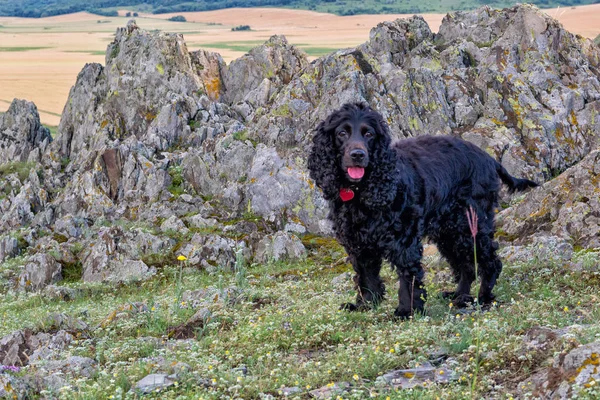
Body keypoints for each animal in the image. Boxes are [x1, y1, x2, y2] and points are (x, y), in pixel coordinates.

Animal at [308, 103, 536, 318]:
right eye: (342, 133)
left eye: (369, 134)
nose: (358, 154)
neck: (361, 192)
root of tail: (489, 159)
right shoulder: (358, 243)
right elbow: (366, 276)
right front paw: (366, 305)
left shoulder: (403, 240)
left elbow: (408, 276)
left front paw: (406, 311)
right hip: (449, 231)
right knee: (467, 265)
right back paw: (459, 296)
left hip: (471, 223)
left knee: (490, 262)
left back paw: (484, 299)